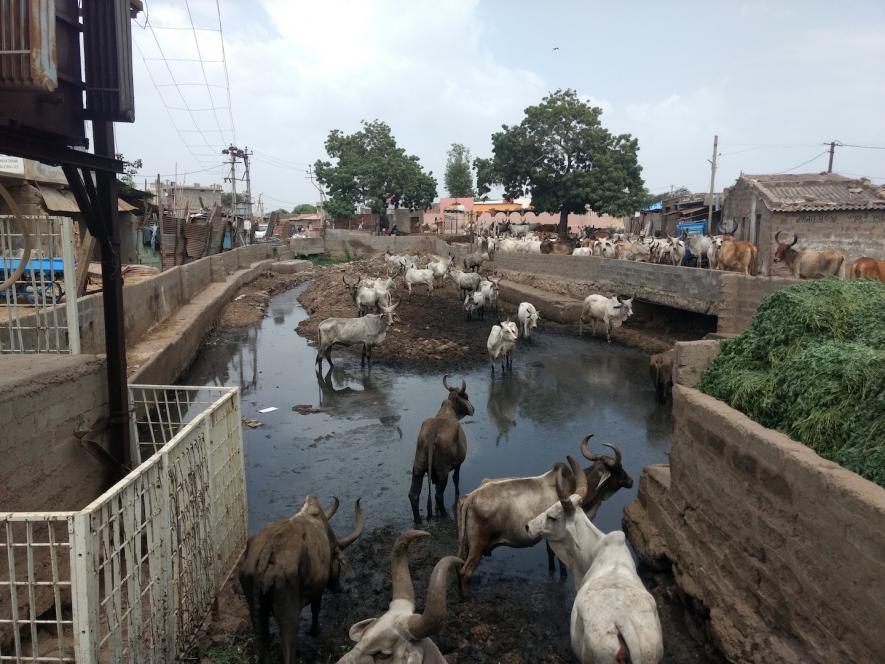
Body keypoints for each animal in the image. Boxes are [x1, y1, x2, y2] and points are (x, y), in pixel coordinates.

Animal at [238, 496, 362, 660]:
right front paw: (314, 632)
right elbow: (315, 610)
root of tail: (267, 551)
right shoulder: (318, 589)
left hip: (256, 611)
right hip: (289, 614)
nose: (338, 588)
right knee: (288, 648)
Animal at [410, 378, 476, 524]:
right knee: (438, 495)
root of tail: (431, 435)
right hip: (443, 470)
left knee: (413, 495)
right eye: (466, 396)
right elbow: (456, 479)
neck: (448, 411)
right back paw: (445, 515)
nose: (473, 409)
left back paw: (418, 521)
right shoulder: (458, 463)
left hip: (418, 467)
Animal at [456, 436, 636, 596]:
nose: (631, 481)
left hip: (466, 546)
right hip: (478, 547)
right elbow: (561, 564)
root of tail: (470, 497)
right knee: (465, 572)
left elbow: (550, 557)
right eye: (619, 467)